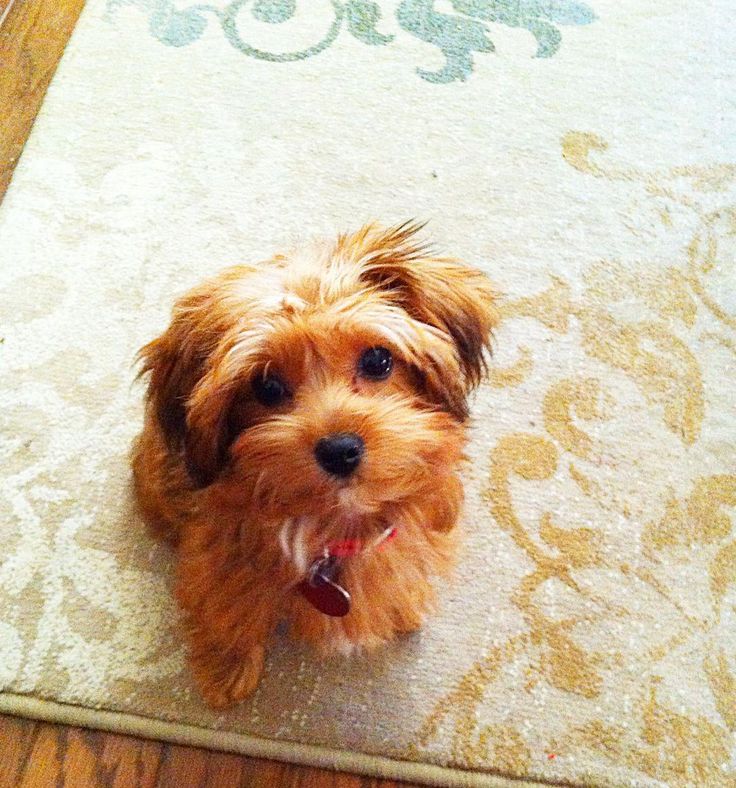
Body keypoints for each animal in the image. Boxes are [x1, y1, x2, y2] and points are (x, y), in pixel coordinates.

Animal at [134, 222, 500, 708]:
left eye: (378, 359)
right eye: (266, 387)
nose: (340, 449)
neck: (334, 524)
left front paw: (403, 606)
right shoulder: (219, 560)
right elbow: (228, 611)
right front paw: (226, 670)